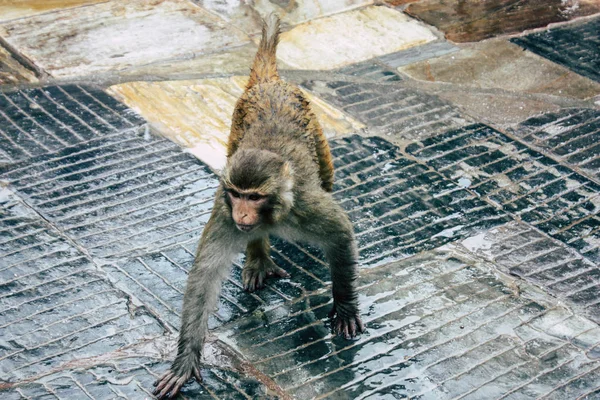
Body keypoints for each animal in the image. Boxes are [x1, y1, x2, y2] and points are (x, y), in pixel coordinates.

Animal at [152, 13, 364, 400]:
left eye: (254, 197)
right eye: (237, 194)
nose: (243, 213)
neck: (273, 213)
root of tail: (268, 83)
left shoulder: (306, 207)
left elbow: (340, 233)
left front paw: (343, 304)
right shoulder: (223, 213)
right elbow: (205, 278)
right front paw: (186, 358)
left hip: (317, 132)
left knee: (327, 176)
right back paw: (258, 256)